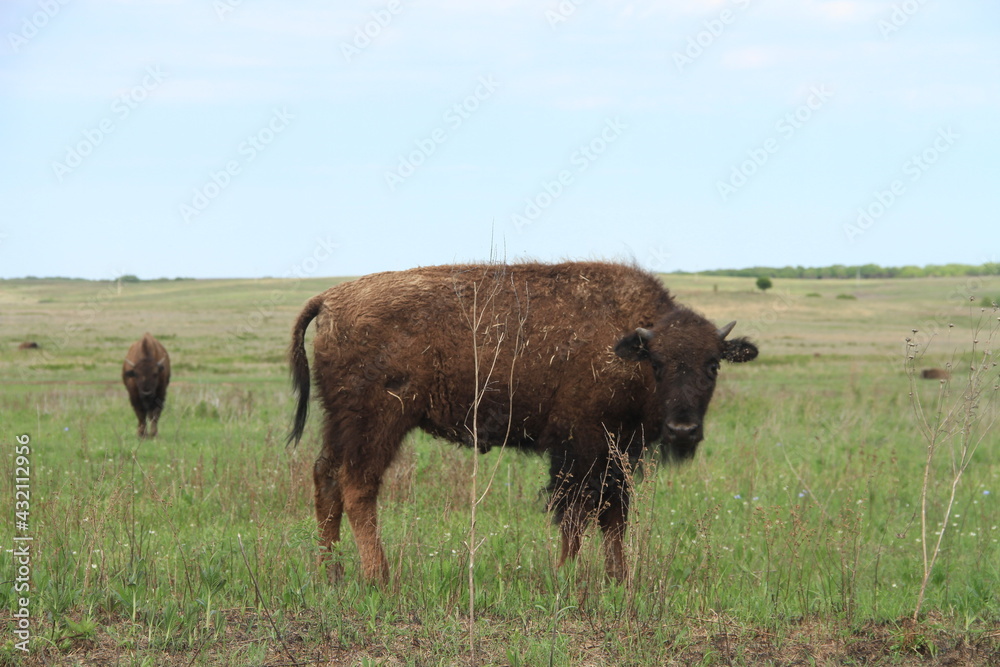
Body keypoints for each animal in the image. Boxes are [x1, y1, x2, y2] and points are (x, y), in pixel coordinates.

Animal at [290, 262, 756, 584]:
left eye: (712, 364)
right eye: (657, 365)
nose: (683, 431)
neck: (628, 344)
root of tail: (329, 299)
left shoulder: (618, 453)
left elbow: (614, 515)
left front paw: (618, 579)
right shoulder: (581, 448)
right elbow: (575, 512)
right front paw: (565, 575)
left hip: (340, 424)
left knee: (326, 478)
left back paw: (330, 575)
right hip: (379, 423)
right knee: (358, 487)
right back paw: (380, 578)